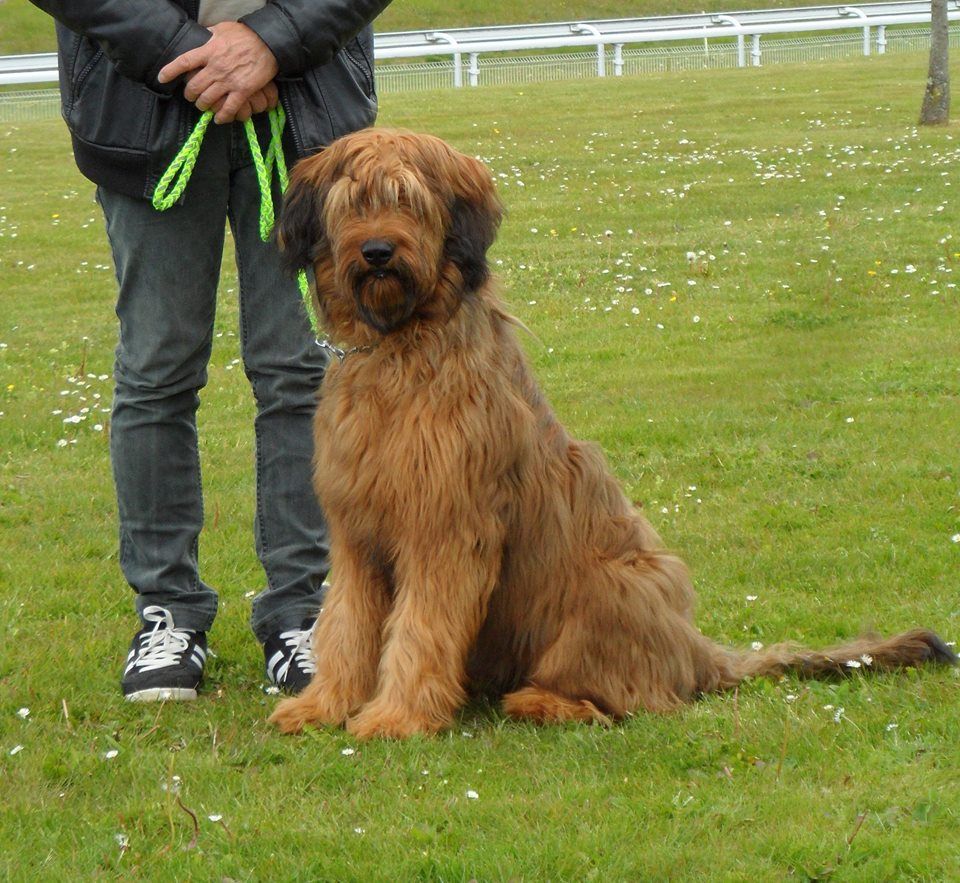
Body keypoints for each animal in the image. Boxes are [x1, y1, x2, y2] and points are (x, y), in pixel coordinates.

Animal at [268, 129, 952, 740]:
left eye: (408, 199)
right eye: (353, 203)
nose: (378, 252)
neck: (401, 348)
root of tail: (695, 650)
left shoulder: (447, 530)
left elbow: (420, 629)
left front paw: (395, 718)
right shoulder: (357, 535)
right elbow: (346, 623)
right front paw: (324, 705)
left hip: (611, 587)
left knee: (637, 701)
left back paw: (544, 701)